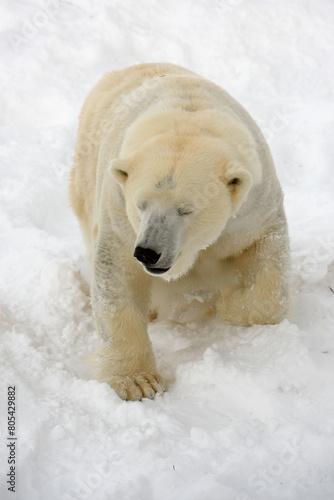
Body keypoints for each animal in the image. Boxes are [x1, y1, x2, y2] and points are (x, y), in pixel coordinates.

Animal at [70, 62, 290, 400]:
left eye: (186, 209)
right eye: (141, 204)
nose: (148, 252)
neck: (187, 118)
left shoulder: (251, 206)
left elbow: (263, 255)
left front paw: (233, 306)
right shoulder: (118, 208)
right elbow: (117, 273)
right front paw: (137, 382)